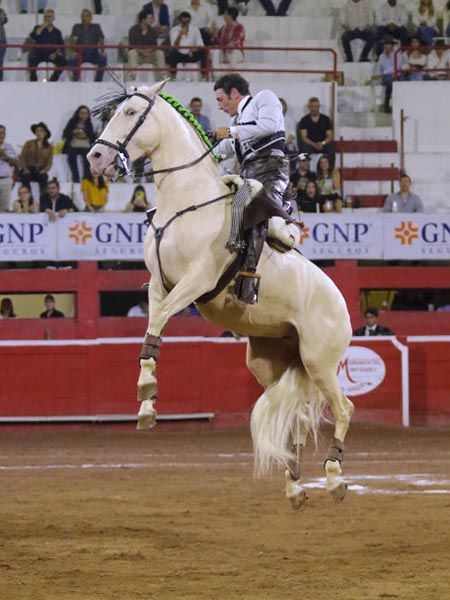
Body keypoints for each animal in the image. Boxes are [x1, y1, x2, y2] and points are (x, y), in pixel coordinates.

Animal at [87, 81, 354, 508]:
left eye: (130, 112)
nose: (96, 157)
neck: (185, 202)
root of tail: (342, 303)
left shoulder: (196, 281)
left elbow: (160, 320)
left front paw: (146, 392)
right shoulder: (160, 284)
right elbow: (152, 329)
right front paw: (146, 406)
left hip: (320, 361)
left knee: (344, 408)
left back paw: (334, 478)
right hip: (271, 363)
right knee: (297, 417)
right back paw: (295, 485)